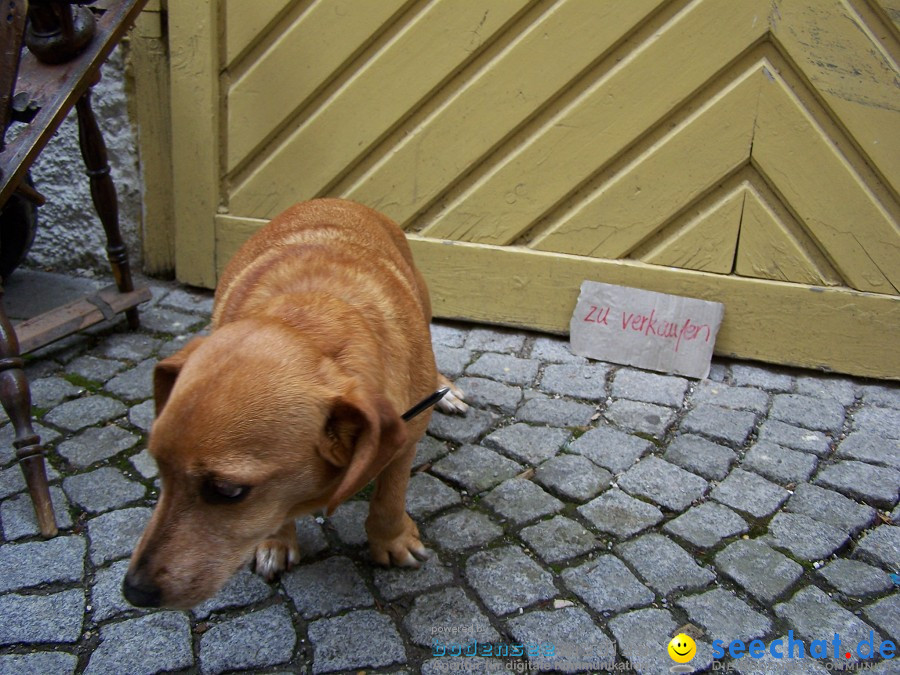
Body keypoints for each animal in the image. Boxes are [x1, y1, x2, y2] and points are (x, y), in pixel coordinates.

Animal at [123, 198, 468, 608]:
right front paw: (276, 541)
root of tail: (335, 199)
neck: (310, 318)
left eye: (228, 492)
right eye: (158, 465)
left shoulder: (404, 439)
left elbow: (389, 498)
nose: (133, 591)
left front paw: (392, 541)